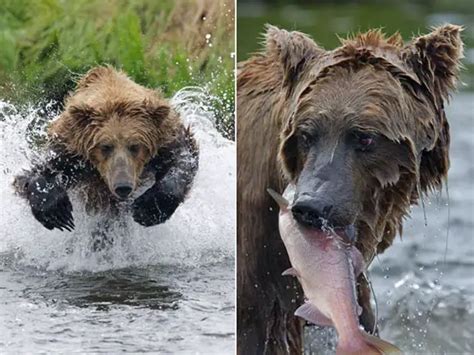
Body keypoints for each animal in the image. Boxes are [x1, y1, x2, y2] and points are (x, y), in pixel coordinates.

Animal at [15, 66, 198, 232]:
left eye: (135, 146)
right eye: (105, 147)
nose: (123, 186)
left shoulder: (165, 140)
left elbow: (182, 160)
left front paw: (151, 207)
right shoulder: (70, 151)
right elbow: (34, 173)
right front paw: (56, 211)